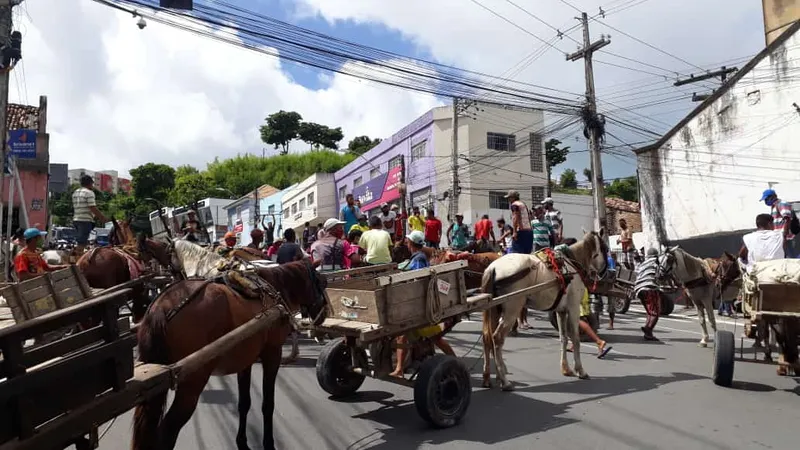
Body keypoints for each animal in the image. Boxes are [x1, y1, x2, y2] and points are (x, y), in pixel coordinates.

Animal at [133, 243, 326, 450]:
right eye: (322, 282)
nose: (323, 315)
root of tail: (161, 307)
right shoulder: (272, 353)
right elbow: (268, 404)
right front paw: (268, 443)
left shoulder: (246, 360)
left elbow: (244, 403)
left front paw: (242, 442)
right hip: (193, 380)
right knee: (167, 431)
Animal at [478, 230, 608, 388]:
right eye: (605, 248)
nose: (608, 272)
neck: (572, 265)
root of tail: (493, 268)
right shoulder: (573, 308)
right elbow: (576, 339)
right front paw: (580, 370)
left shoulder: (561, 311)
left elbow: (563, 338)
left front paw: (566, 368)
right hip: (512, 310)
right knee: (497, 338)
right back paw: (504, 380)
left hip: (494, 309)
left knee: (487, 337)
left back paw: (488, 377)